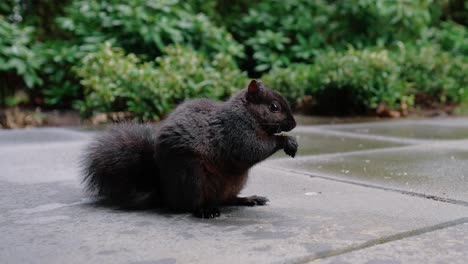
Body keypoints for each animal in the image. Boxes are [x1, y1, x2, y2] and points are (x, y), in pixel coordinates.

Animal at [81, 79, 296, 218]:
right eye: (274, 107)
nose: (293, 124)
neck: (248, 114)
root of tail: (166, 193)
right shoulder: (235, 131)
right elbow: (252, 149)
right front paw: (285, 141)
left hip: (235, 181)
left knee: (227, 199)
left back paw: (247, 199)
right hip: (192, 175)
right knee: (189, 205)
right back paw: (204, 210)